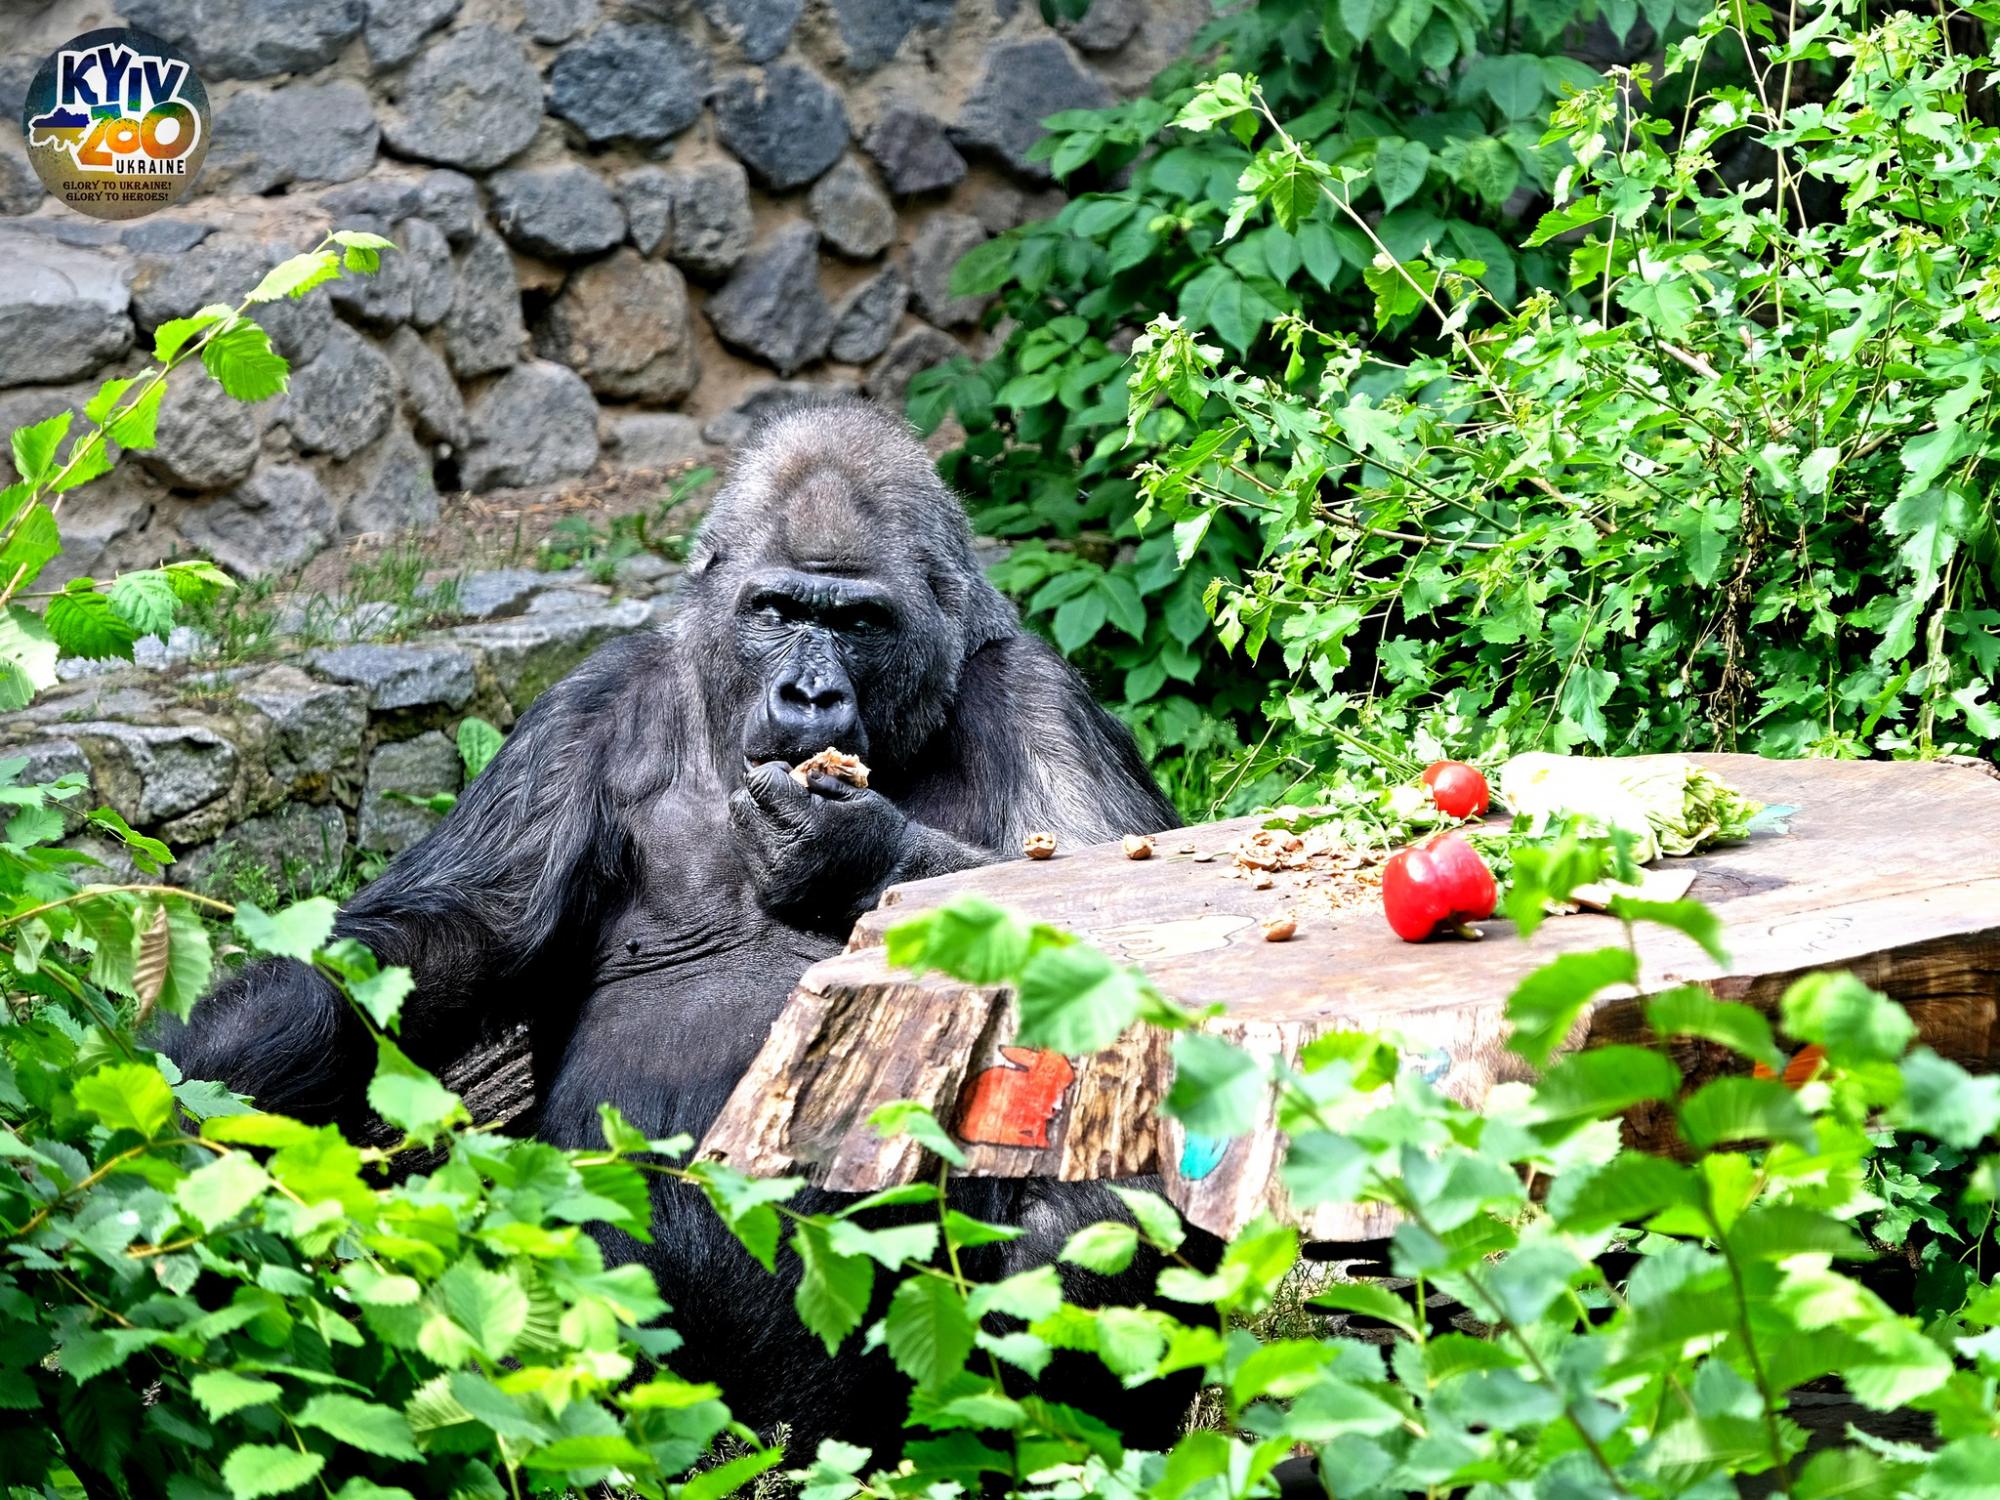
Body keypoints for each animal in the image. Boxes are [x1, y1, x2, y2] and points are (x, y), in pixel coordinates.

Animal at [164, 406, 1192, 1464]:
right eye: (777, 609)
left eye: (860, 623)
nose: (811, 697)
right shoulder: (584, 708)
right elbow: (444, 940)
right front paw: (213, 1085)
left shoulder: (1044, 701)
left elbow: (1139, 946)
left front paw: (849, 849)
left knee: (1114, 1199)